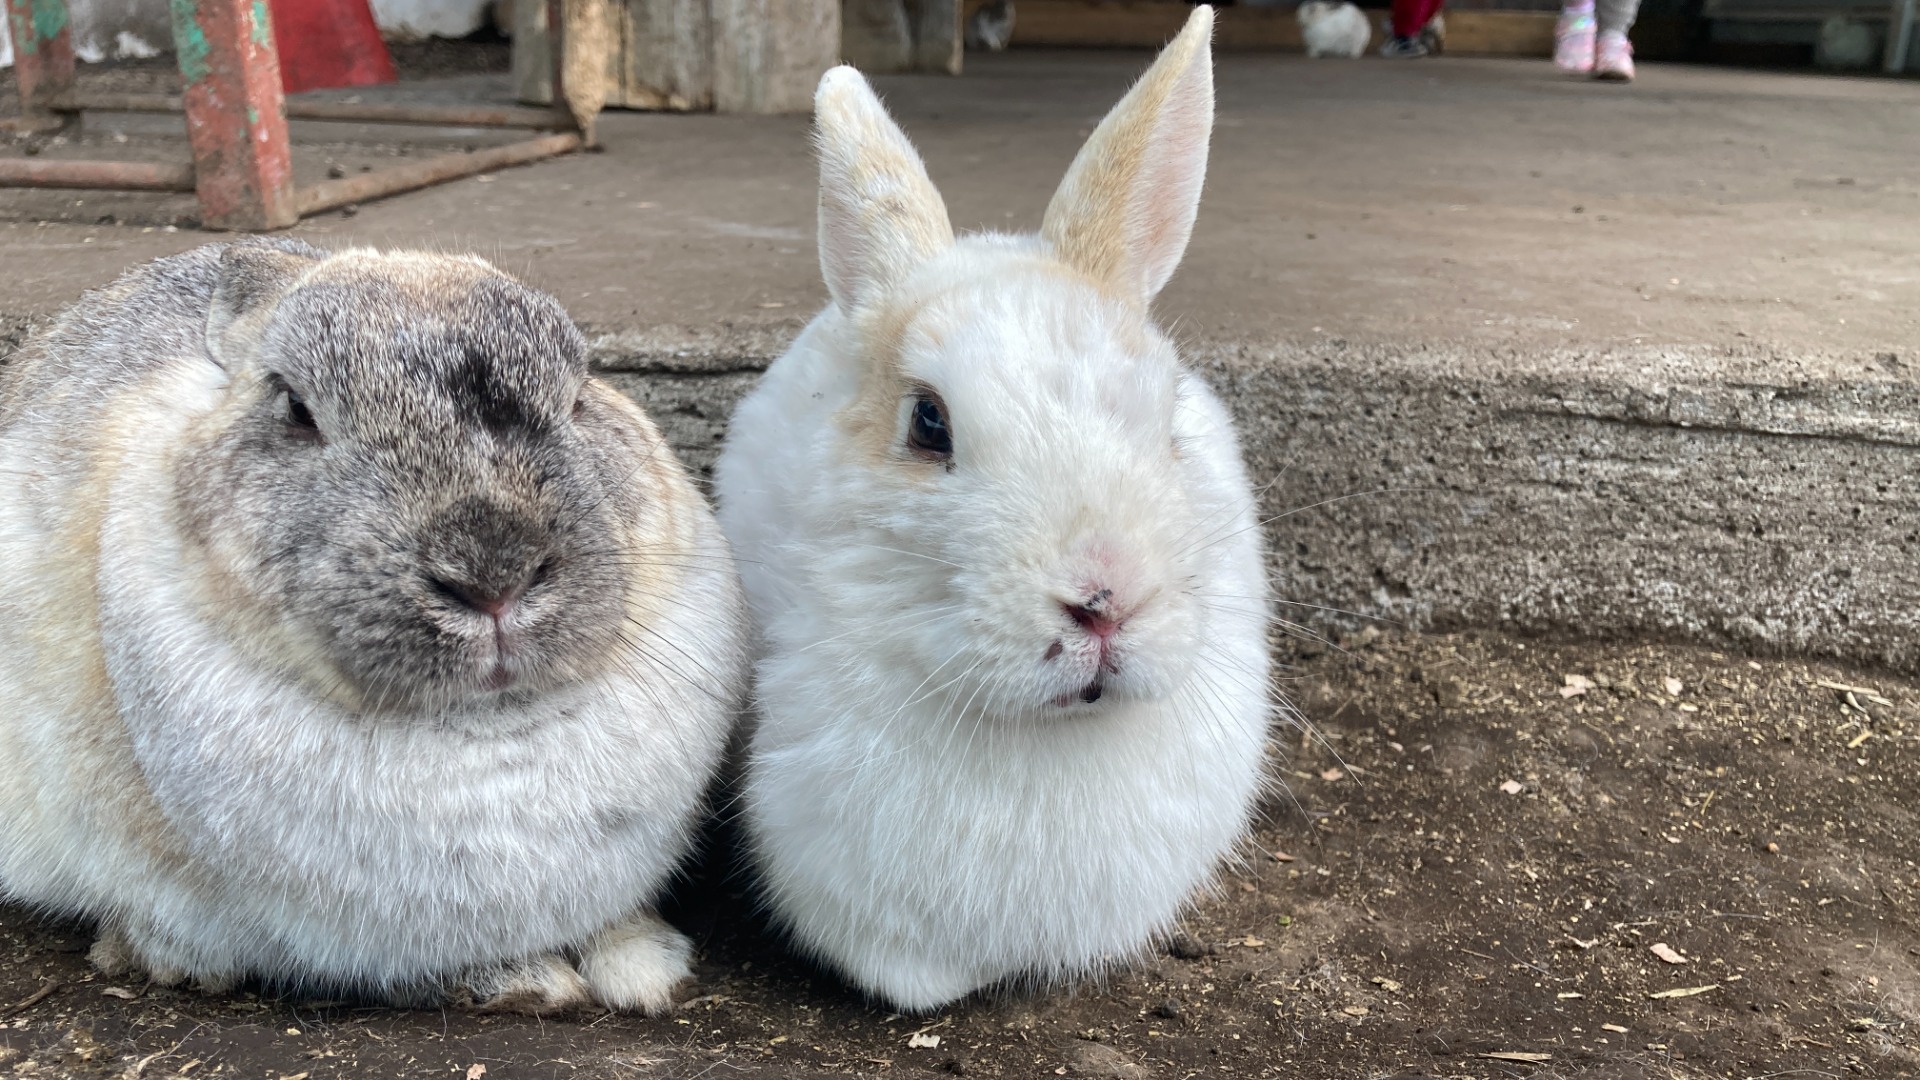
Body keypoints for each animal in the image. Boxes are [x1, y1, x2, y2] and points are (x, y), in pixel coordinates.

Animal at [0, 237, 748, 1006]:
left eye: (579, 395)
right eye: (296, 408)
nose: (493, 576)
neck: (484, 726)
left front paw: (645, 968)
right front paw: (529, 982)